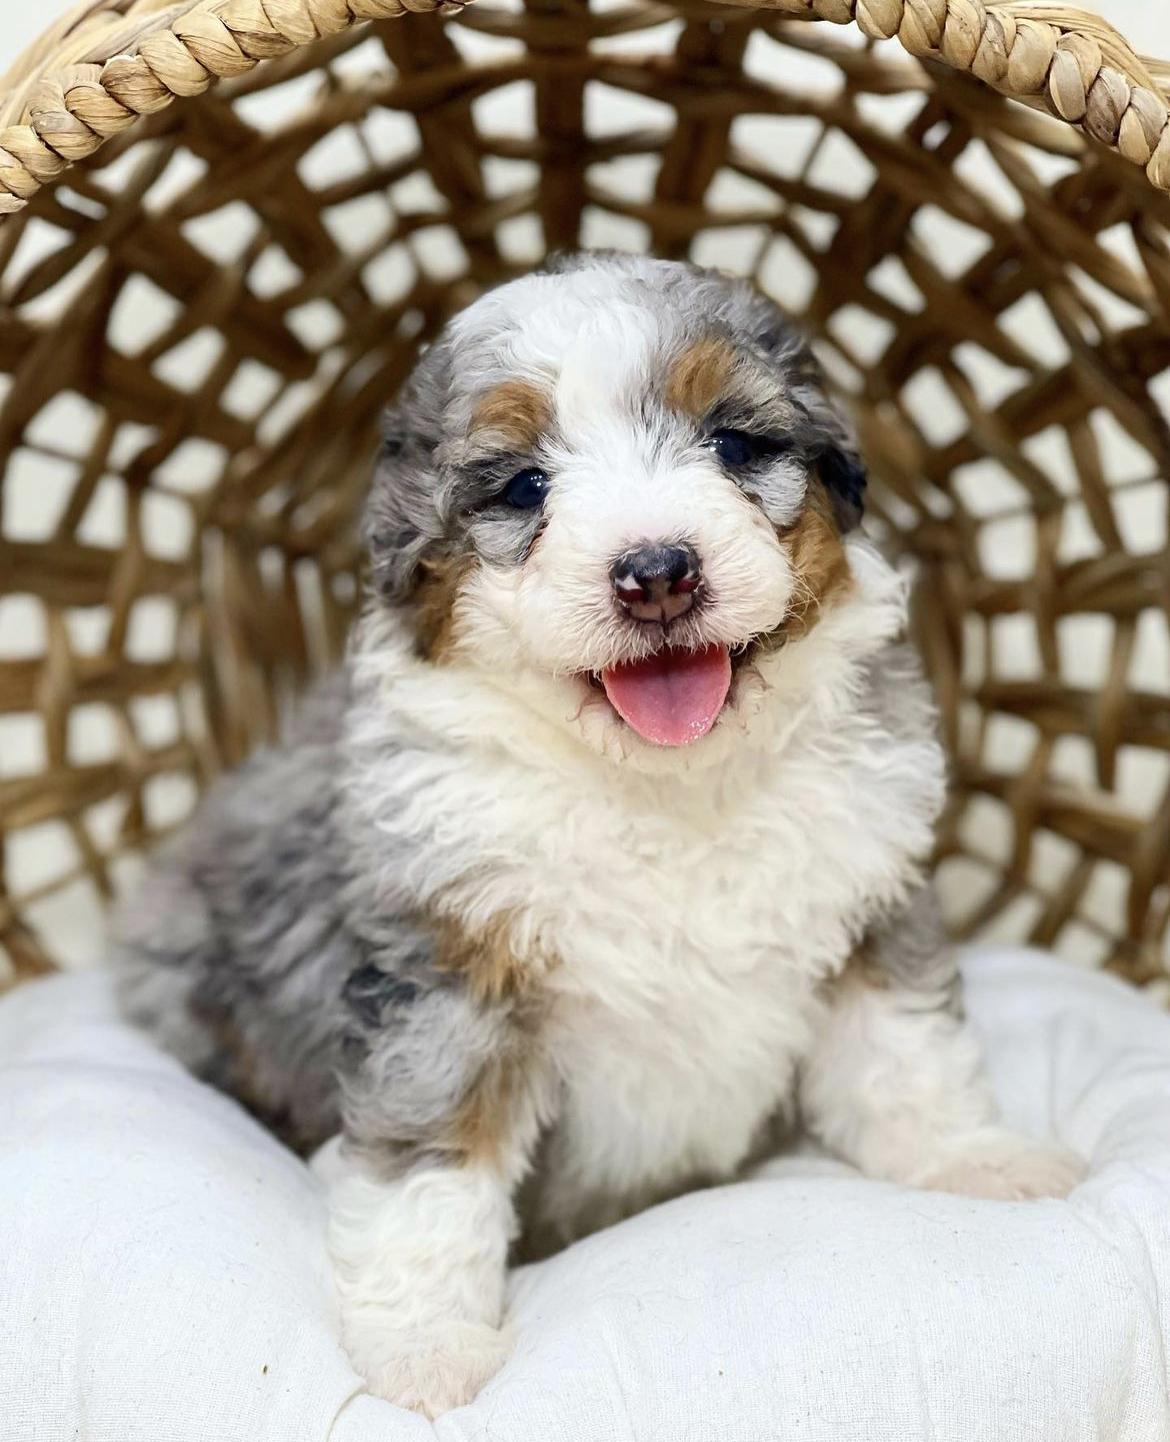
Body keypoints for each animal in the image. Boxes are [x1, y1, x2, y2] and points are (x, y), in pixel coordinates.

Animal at [114, 252, 1084, 1417]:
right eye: (525, 486)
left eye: (735, 443)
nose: (657, 570)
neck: (667, 787)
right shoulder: (445, 977)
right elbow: (430, 1171)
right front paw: (425, 1349)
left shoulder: (869, 884)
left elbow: (906, 1051)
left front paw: (972, 1160)